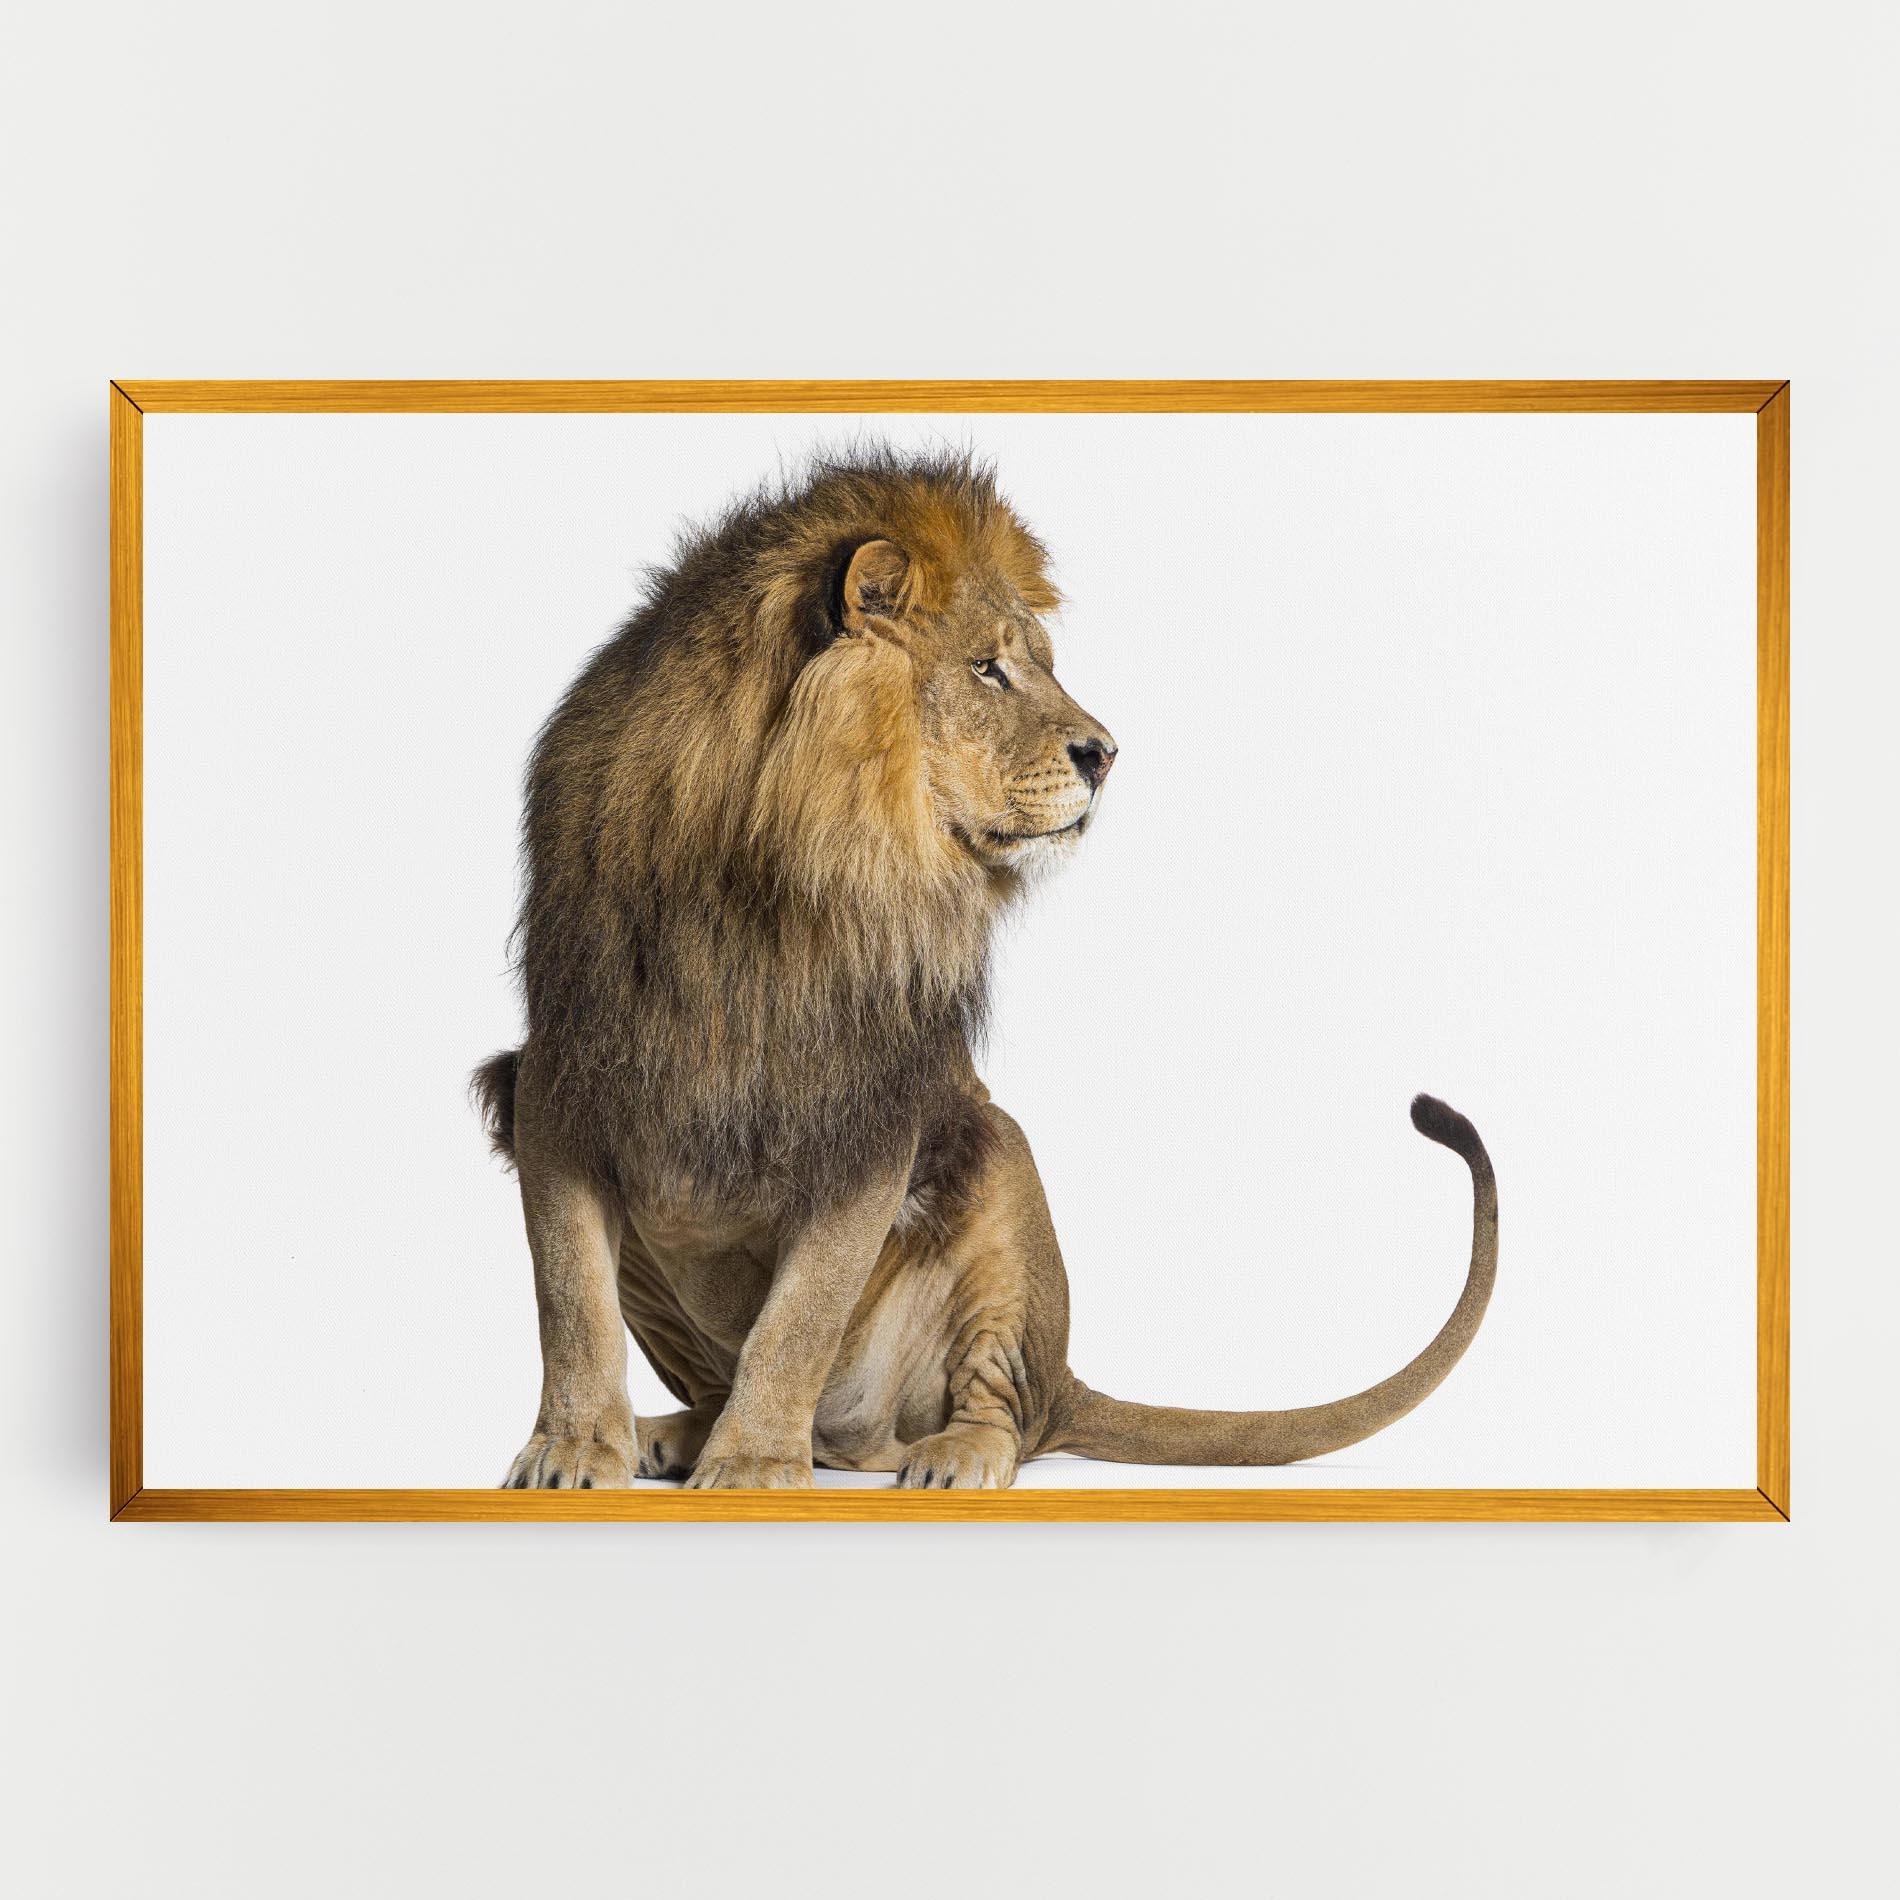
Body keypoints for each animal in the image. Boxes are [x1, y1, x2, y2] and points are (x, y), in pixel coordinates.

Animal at [475, 447, 1497, 1489]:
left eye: (1036, 664)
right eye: (987, 668)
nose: (1107, 755)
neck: (764, 877)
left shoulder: (874, 1111)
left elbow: (798, 1318)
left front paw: (756, 1466)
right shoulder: (559, 1075)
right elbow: (571, 1298)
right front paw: (574, 1450)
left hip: (998, 1167)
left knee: (1001, 1407)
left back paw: (945, 1454)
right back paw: (678, 1435)